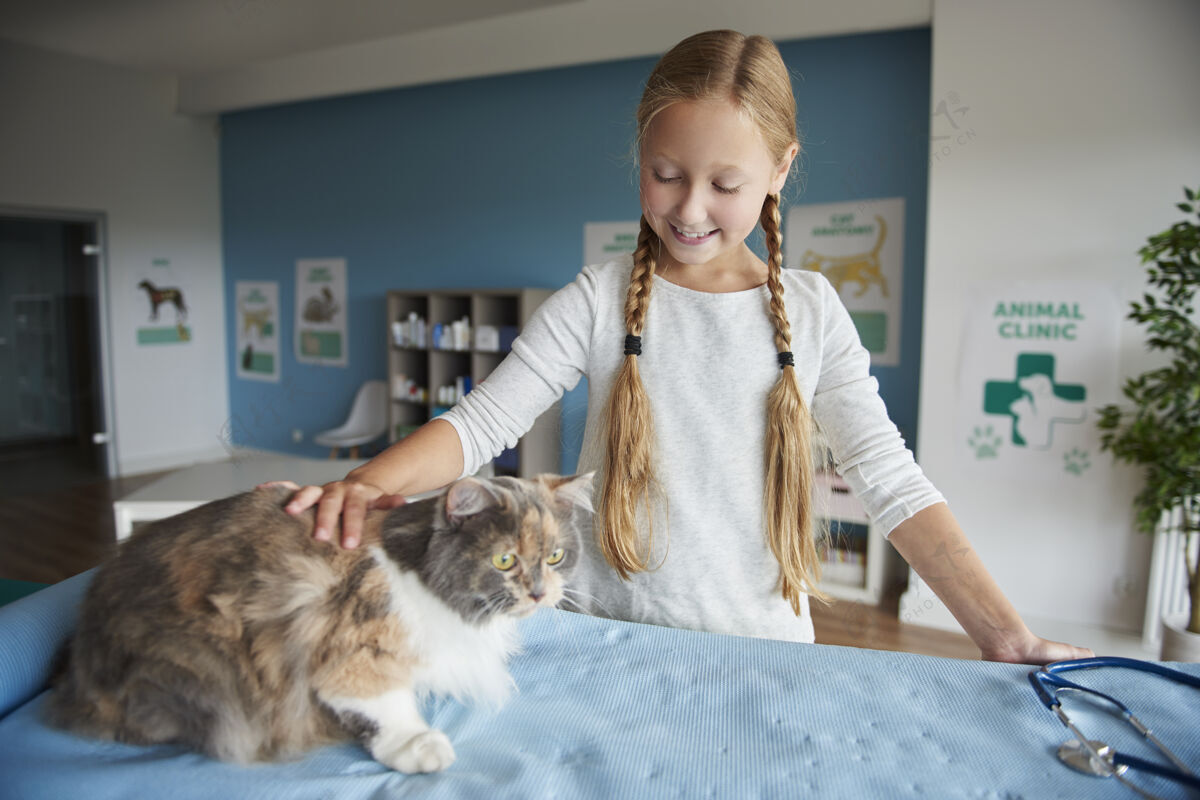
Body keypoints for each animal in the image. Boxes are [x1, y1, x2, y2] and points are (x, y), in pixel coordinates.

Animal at [49, 472, 592, 772]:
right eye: (504, 561)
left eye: (556, 556)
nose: (540, 593)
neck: (419, 568)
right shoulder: (349, 649)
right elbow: (380, 703)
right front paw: (418, 747)